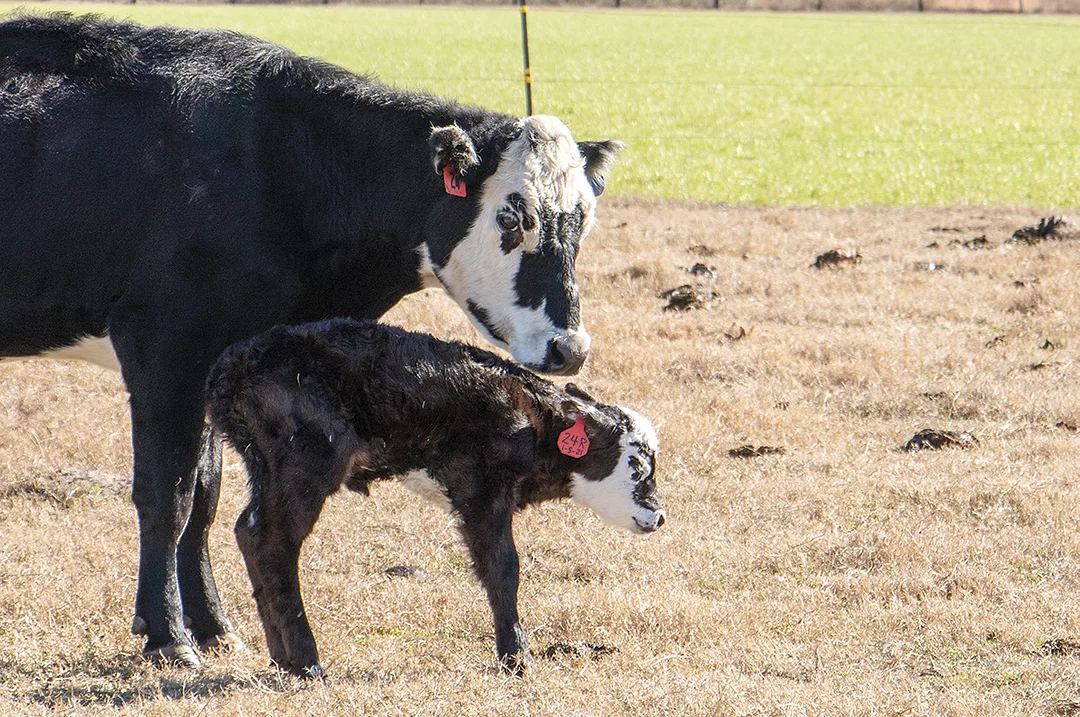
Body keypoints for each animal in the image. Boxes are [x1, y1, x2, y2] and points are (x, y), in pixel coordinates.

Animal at [0, 12, 623, 667]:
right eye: (511, 217)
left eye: (583, 222)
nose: (570, 349)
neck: (277, 167)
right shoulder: (164, 348)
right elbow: (166, 496)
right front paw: (168, 634)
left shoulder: (220, 363)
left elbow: (204, 494)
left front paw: (213, 625)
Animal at [205, 318, 666, 677]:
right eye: (637, 466)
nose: (659, 516)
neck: (528, 420)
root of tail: (232, 368)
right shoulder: (482, 489)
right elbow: (502, 567)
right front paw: (516, 659)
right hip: (308, 462)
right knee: (274, 542)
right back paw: (306, 662)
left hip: (265, 467)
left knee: (248, 531)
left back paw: (282, 659)